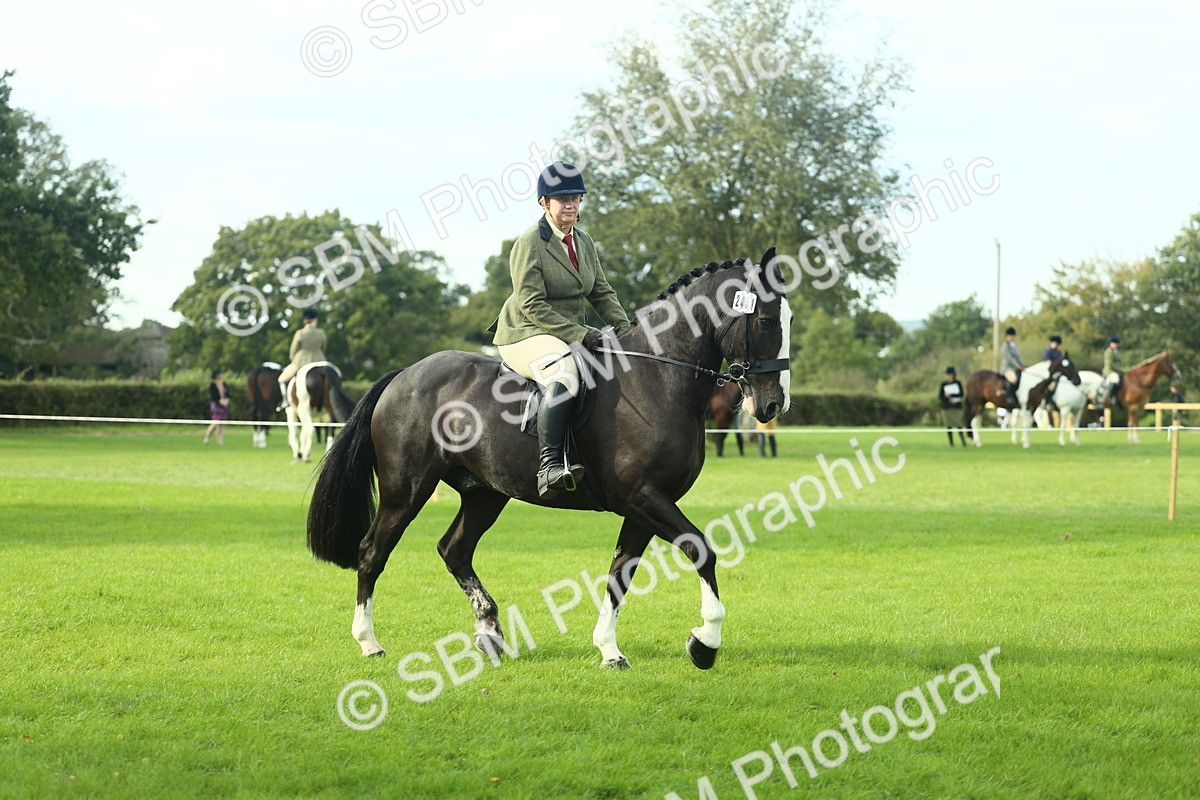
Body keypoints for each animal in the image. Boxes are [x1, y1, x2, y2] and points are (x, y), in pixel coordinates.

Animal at [306, 250, 791, 670]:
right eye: (767, 321)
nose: (772, 405)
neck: (657, 376)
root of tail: (403, 375)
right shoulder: (643, 497)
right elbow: (700, 550)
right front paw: (704, 644)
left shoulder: (644, 505)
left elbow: (619, 574)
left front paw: (609, 650)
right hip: (406, 491)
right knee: (372, 552)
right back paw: (370, 642)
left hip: (485, 493)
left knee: (454, 549)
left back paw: (490, 634)